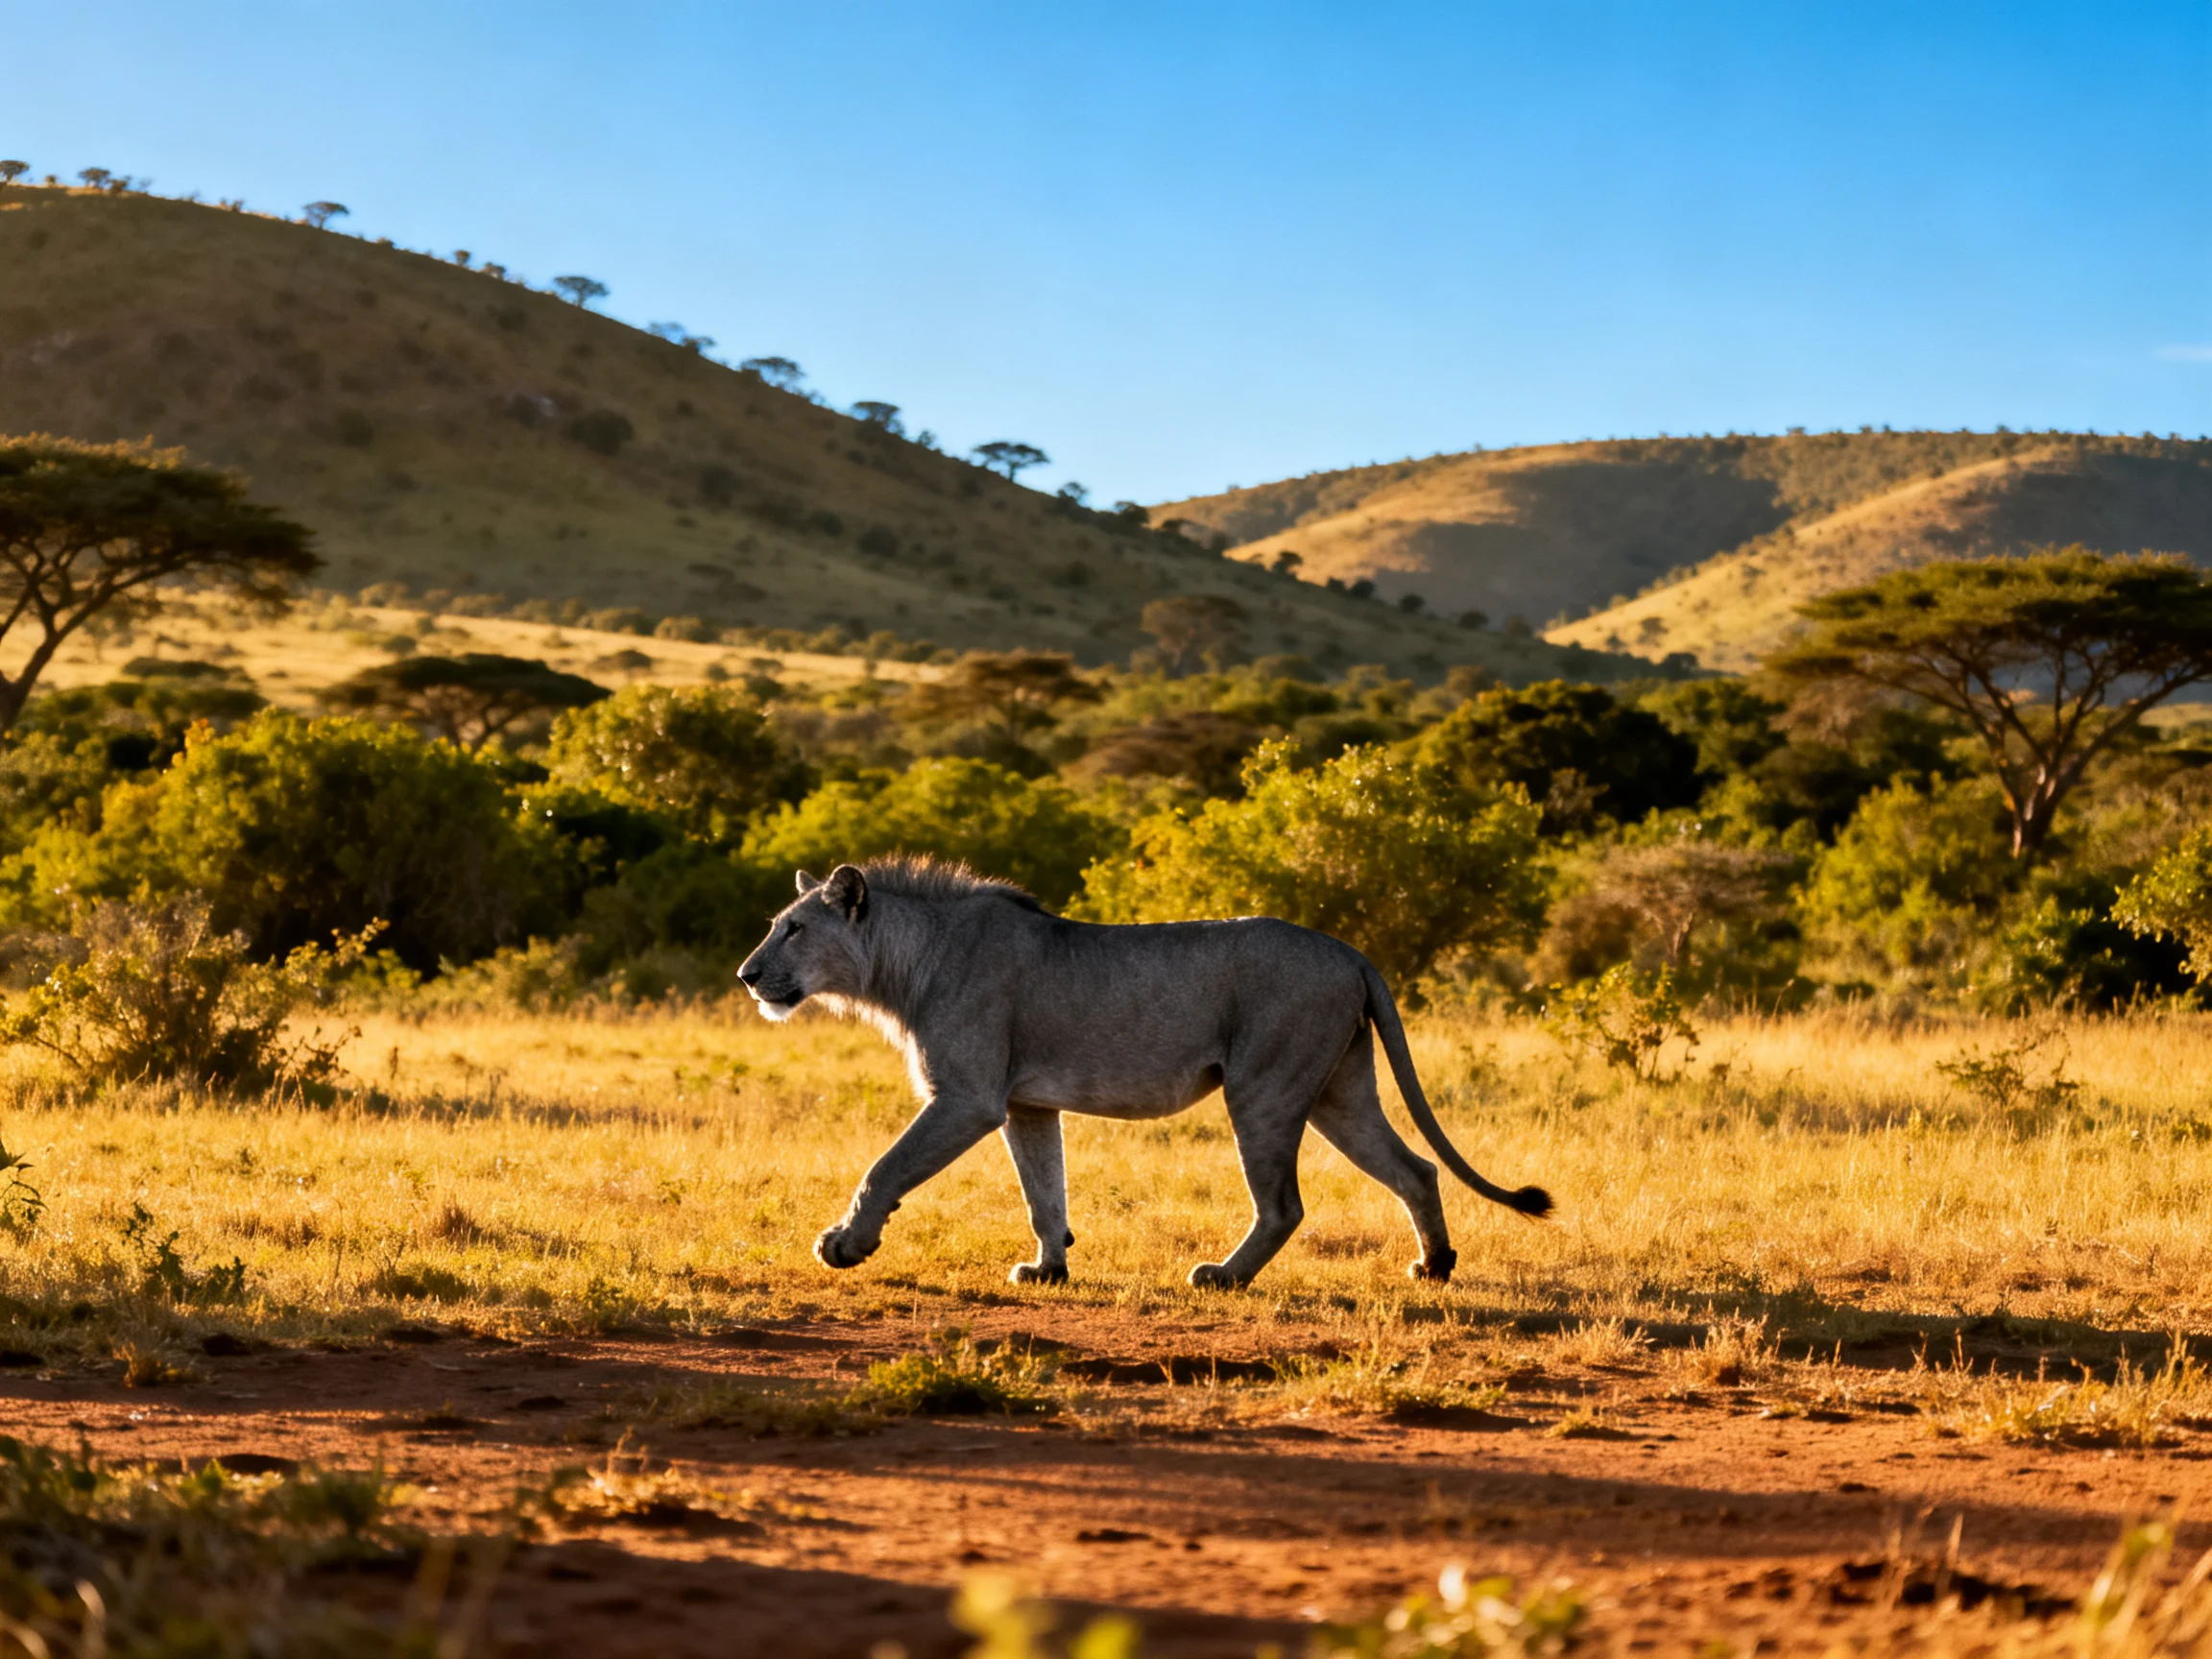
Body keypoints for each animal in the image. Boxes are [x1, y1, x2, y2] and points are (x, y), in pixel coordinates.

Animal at [736, 858, 1551, 1289]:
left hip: (1264, 1086)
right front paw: (1048, 1270)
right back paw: (1435, 1265)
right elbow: (1044, 1194)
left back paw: (1223, 1277)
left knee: (1284, 1205)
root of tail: (1352, 951)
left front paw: (844, 1244)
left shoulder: (967, 1098)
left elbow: (884, 1167)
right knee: (1416, 1169)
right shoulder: (1027, 1104)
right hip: (1338, 1094)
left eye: (794, 928)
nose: (746, 975)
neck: (904, 962)